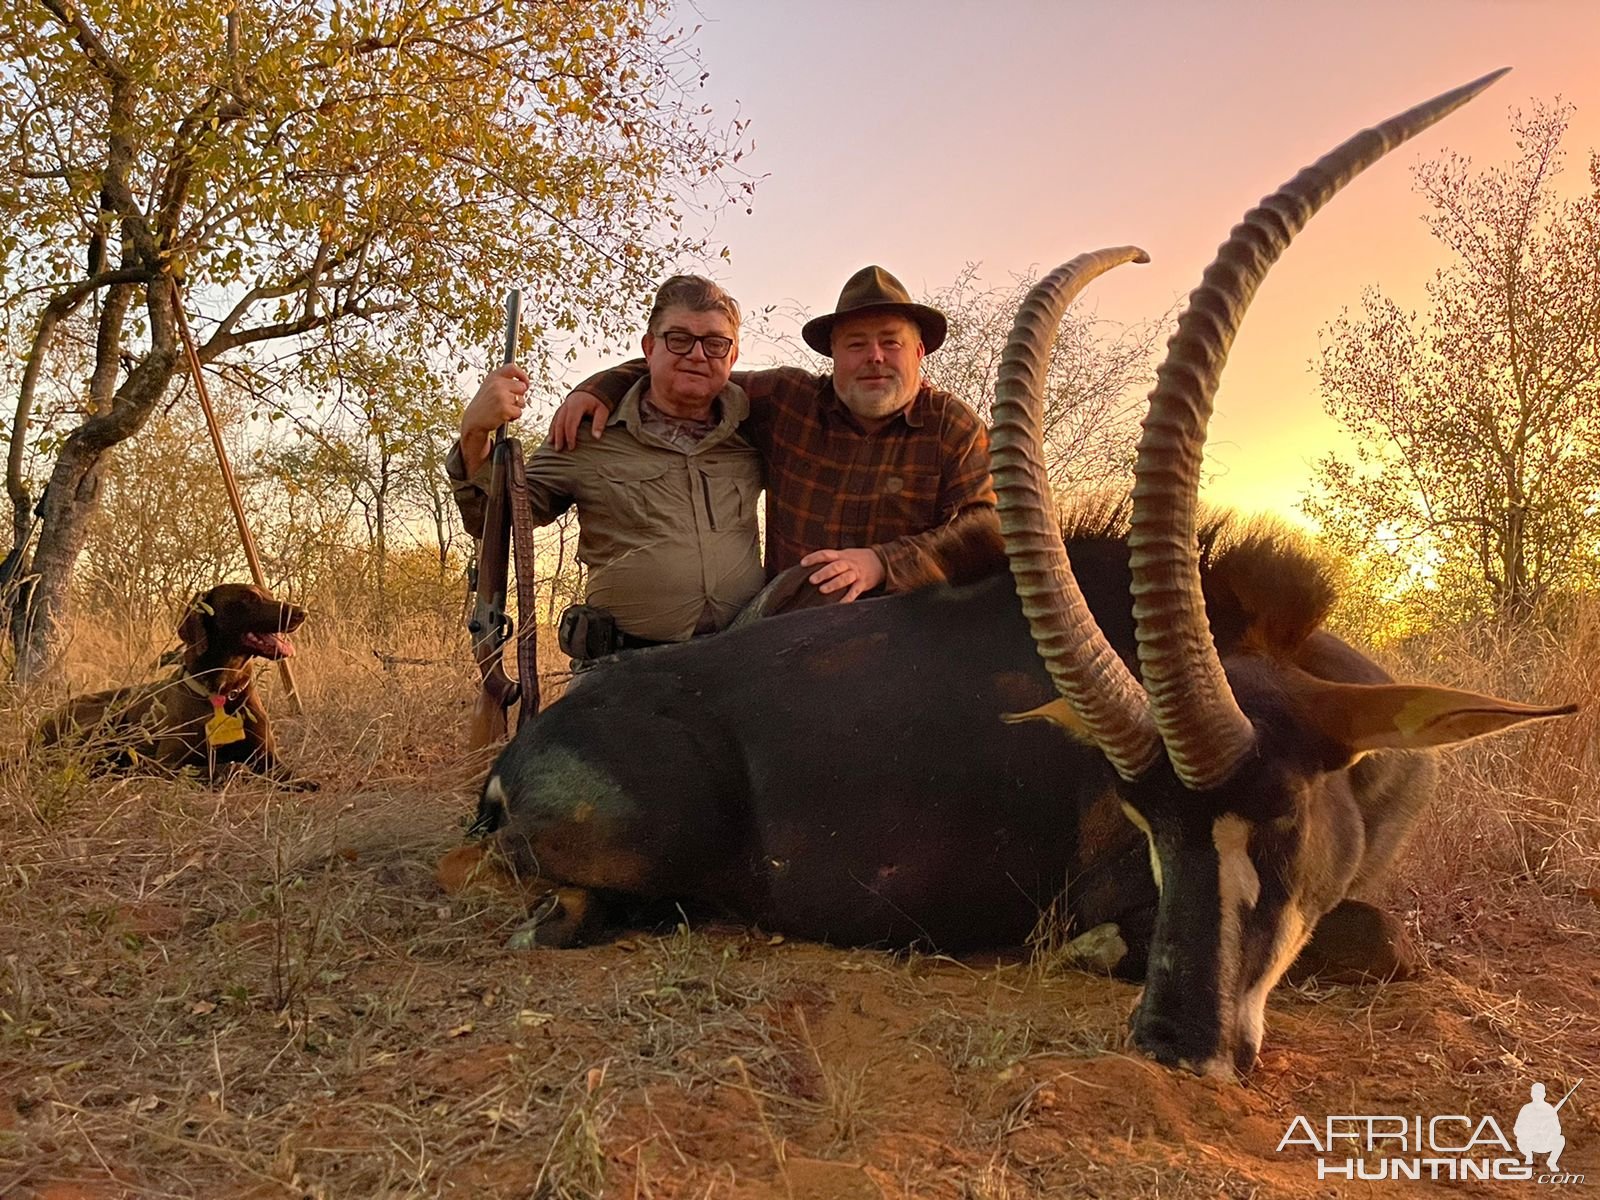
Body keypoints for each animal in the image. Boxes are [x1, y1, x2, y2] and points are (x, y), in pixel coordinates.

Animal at [38, 582, 318, 790]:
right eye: (249, 598)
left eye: (269, 594)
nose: (302, 612)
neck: (221, 693)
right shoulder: (168, 762)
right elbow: (227, 768)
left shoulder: (268, 759)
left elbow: (289, 774)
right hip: (105, 718)